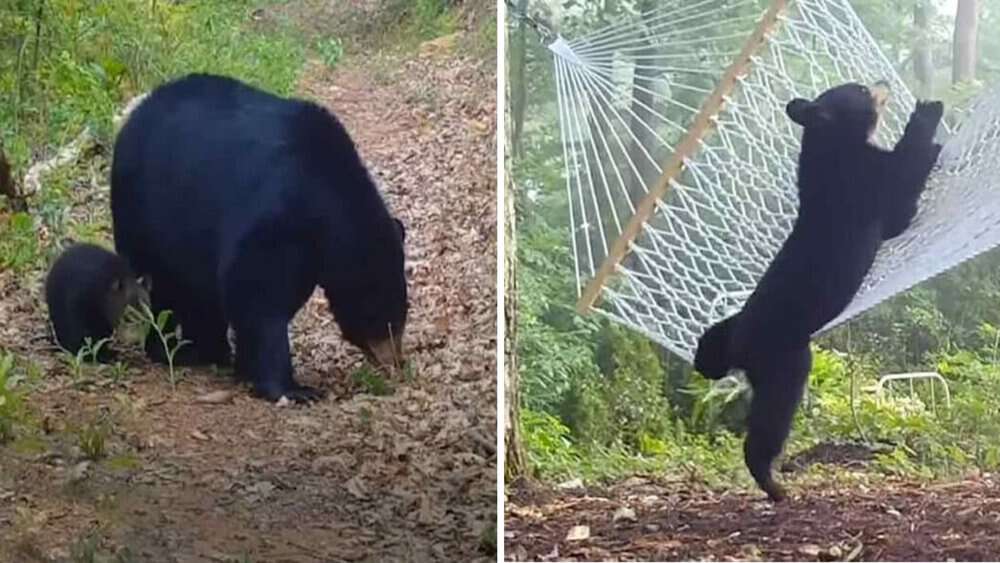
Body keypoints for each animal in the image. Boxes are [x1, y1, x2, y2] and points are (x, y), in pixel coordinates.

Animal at [110, 73, 408, 402]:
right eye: (383, 318)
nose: (396, 362)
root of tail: (136, 112)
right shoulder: (275, 215)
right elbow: (256, 292)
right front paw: (292, 388)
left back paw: (212, 350)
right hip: (145, 213)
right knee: (164, 286)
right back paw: (175, 350)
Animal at [694, 81, 944, 502]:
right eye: (861, 89)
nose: (882, 84)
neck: (831, 148)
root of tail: (737, 346)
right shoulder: (866, 184)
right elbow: (903, 183)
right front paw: (929, 114)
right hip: (786, 360)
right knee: (770, 421)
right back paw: (774, 485)